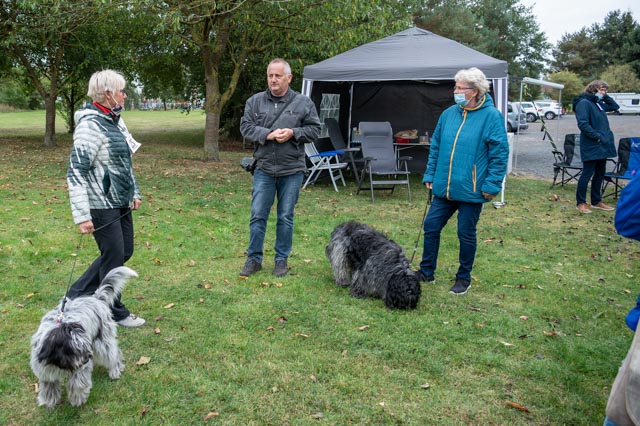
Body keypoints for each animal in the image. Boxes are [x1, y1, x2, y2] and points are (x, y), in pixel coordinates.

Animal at [29, 266, 138, 410]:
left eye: (81, 346)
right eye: (71, 350)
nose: (87, 359)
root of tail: (97, 298)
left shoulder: (80, 368)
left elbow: (78, 384)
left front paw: (77, 399)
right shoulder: (45, 372)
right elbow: (49, 388)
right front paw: (49, 402)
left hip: (102, 343)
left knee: (115, 354)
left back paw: (115, 370)